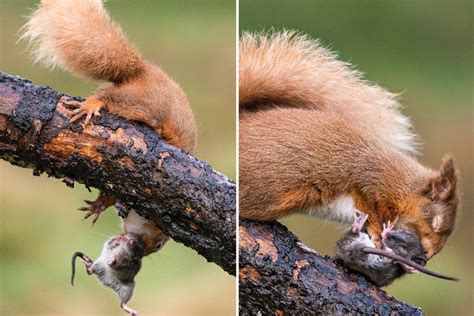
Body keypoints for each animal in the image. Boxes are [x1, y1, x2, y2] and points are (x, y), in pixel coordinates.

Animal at [21, 0, 195, 254]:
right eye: (158, 244)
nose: (140, 249)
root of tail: (143, 70)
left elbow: (110, 195)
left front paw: (98, 205)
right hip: (142, 105)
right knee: (106, 96)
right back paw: (91, 105)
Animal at [239, 31, 462, 260]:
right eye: (436, 223)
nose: (428, 255)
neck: (401, 183)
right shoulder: (368, 183)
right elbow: (370, 211)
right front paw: (378, 237)